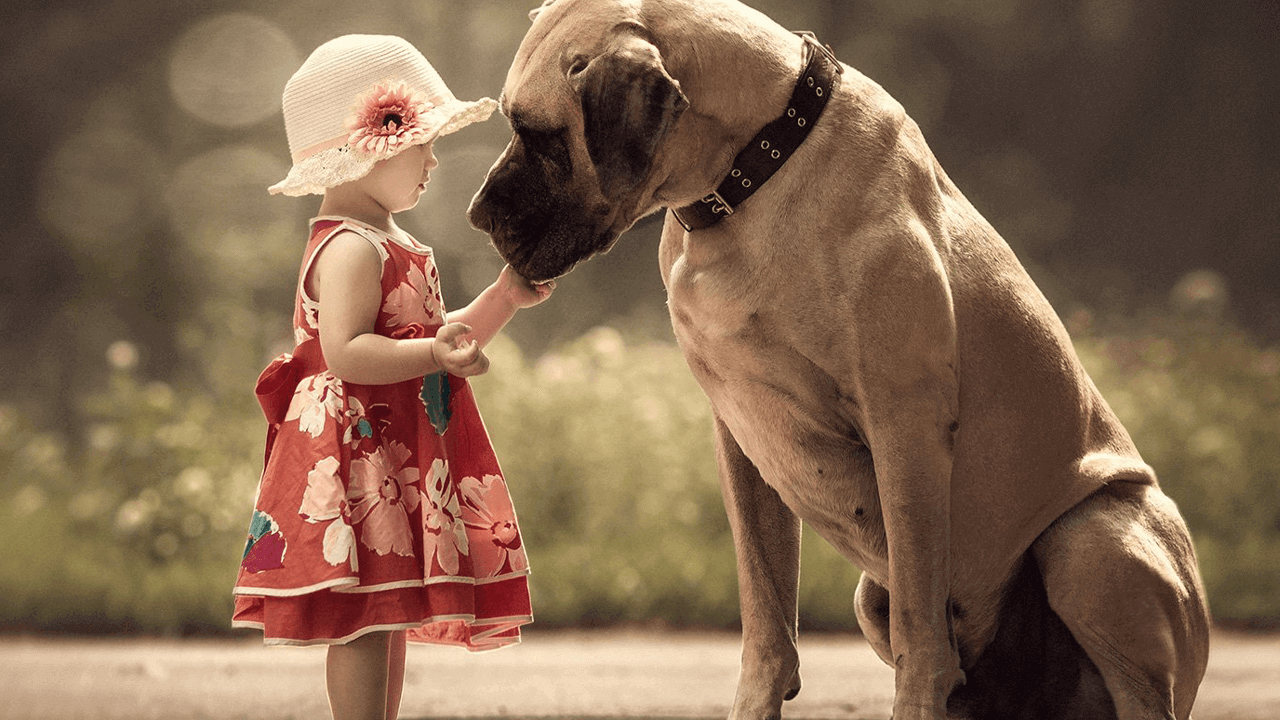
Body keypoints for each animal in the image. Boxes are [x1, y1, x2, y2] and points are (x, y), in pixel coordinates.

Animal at [468, 2, 1208, 712]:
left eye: (541, 136)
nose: (477, 215)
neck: (757, 169)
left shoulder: (904, 430)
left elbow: (921, 633)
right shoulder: (741, 441)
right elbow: (767, 624)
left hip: (1090, 540)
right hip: (873, 595)